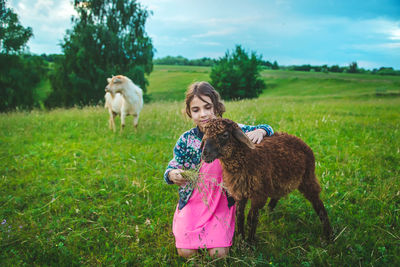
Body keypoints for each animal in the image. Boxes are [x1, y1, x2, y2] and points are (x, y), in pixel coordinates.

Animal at [202, 118, 332, 242]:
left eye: (224, 134)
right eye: (205, 134)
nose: (204, 154)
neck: (247, 158)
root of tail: (298, 139)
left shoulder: (259, 194)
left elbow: (252, 218)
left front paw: (250, 242)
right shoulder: (240, 192)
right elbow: (239, 216)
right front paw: (240, 239)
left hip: (307, 177)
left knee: (317, 203)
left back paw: (328, 235)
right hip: (279, 179)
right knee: (277, 195)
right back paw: (268, 212)